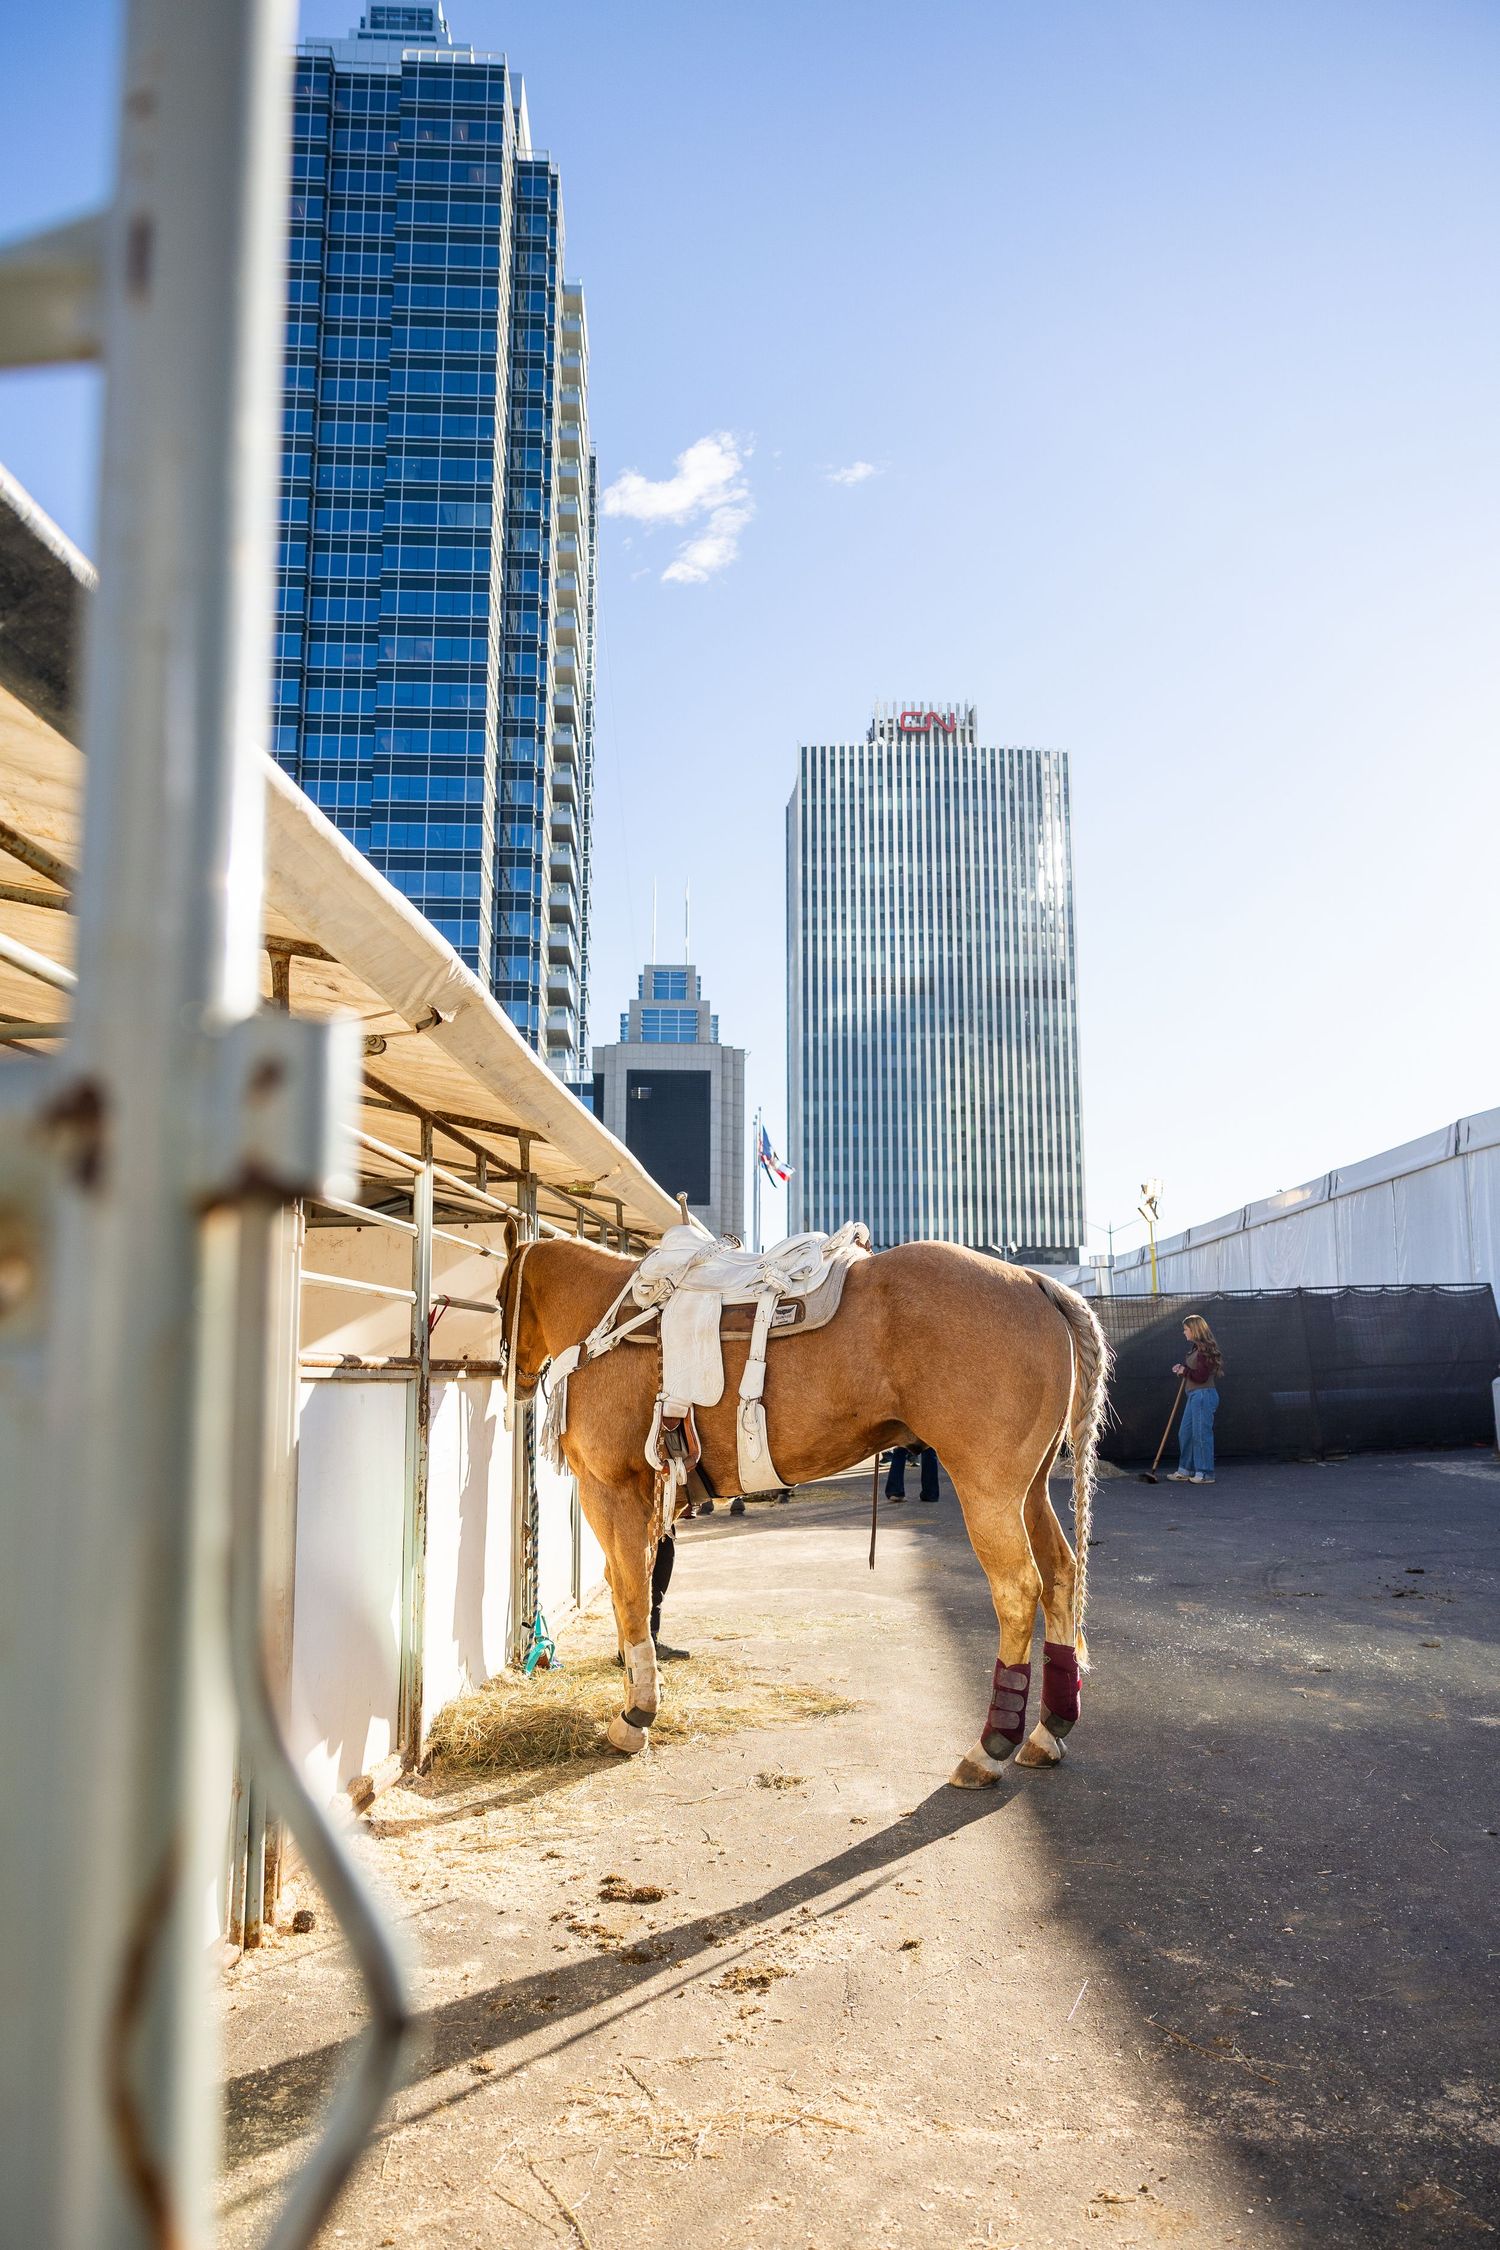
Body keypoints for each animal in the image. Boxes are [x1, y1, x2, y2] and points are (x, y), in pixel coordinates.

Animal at [498, 1230, 1110, 1788]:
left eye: (502, 1293)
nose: (515, 1377)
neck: (605, 1319)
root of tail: (1034, 1280)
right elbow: (637, 1587)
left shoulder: (610, 1489)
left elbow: (629, 1592)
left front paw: (635, 1714)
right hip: (1028, 1489)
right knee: (1060, 1574)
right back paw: (1048, 1730)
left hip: (989, 1490)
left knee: (1018, 1591)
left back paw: (990, 1747)